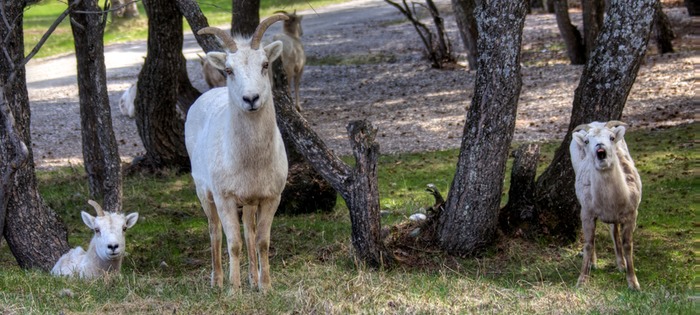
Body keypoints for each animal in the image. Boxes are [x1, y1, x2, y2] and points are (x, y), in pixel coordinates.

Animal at [186, 13, 290, 292]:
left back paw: (252, 279)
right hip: (203, 192)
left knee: (249, 231)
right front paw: (234, 290)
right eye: (229, 70)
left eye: (265, 64)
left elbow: (261, 241)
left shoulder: (270, 197)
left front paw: (265, 287)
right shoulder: (225, 197)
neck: (250, 162)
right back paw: (217, 282)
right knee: (214, 231)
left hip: (250, 202)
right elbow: (233, 243)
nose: (251, 98)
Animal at [572, 121, 644, 292]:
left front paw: (633, 283)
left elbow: (627, 245)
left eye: (611, 137)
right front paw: (582, 281)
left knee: (614, 231)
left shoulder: (631, 216)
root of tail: (594, 122)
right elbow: (588, 244)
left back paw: (621, 265)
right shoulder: (587, 214)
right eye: (587, 141)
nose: (600, 146)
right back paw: (594, 263)